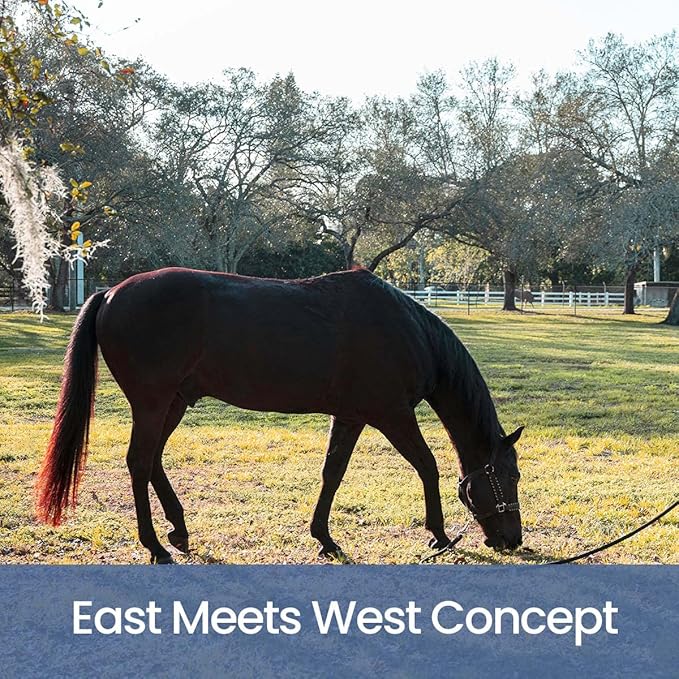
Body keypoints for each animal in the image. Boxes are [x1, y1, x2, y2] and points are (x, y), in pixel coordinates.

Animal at [36, 267, 523, 564]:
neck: (407, 332)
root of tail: (110, 293)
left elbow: (332, 473)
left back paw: (179, 530)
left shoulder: (351, 416)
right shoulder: (391, 413)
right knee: (139, 462)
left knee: (152, 460)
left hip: (173, 402)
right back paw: (156, 545)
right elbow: (427, 465)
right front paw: (438, 534)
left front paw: (324, 537)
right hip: (153, 403)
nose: (512, 538)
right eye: (511, 476)